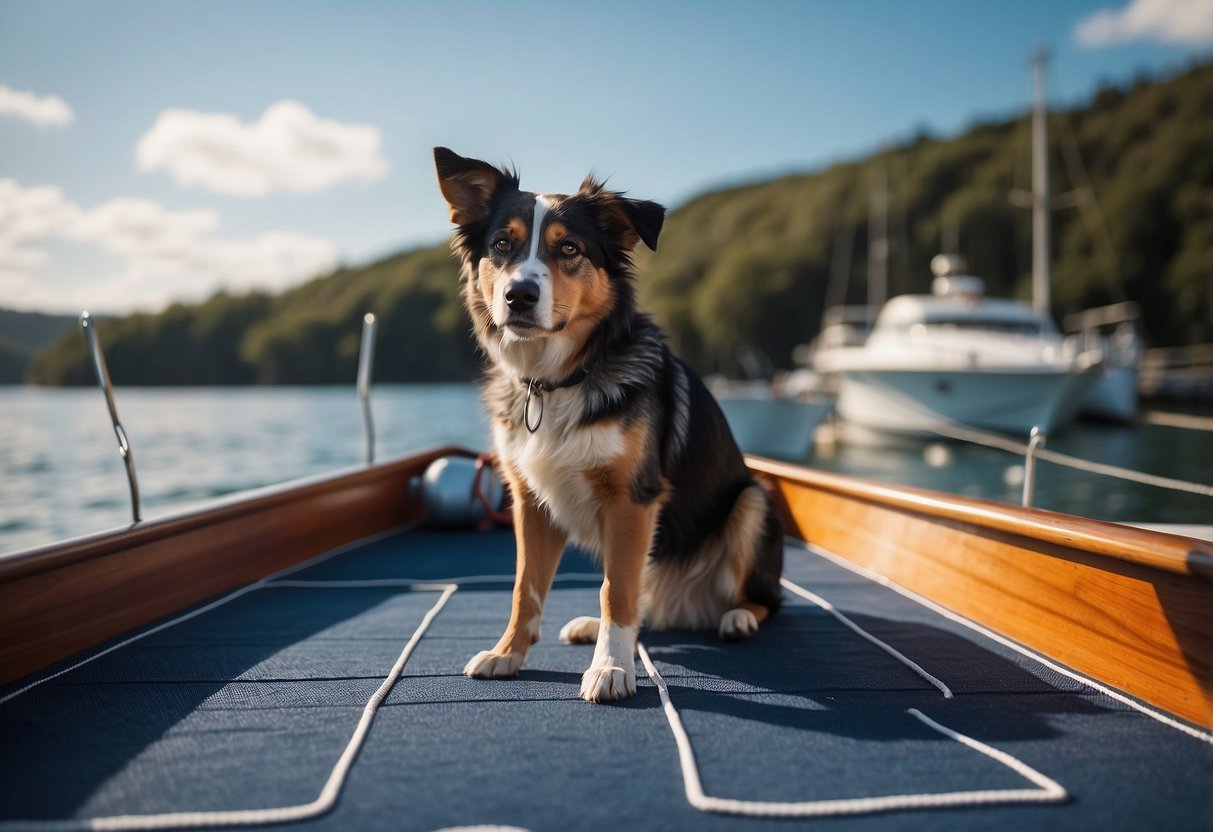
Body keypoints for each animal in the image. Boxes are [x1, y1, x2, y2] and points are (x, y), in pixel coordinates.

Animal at [431, 148, 781, 703]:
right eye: (501, 244)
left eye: (569, 248)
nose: (519, 295)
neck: (554, 382)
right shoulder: (530, 500)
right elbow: (525, 588)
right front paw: (508, 653)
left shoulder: (632, 498)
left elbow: (615, 589)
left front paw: (612, 668)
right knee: (645, 602)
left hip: (753, 500)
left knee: (762, 599)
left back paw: (738, 617)